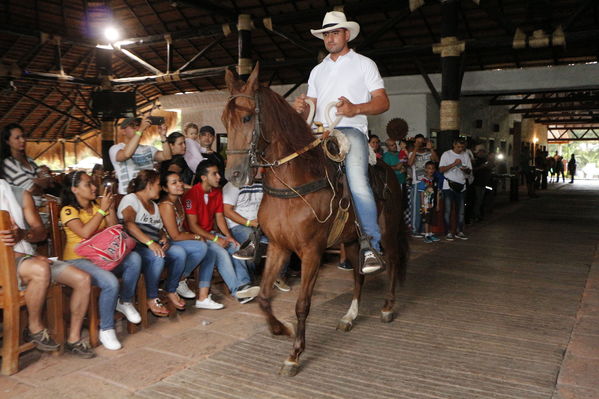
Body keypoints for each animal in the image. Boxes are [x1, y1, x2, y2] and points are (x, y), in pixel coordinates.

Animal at [223, 64, 410, 376]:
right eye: (224, 121)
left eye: (247, 117)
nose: (234, 175)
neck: (293, 183)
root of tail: (391, 172)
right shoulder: (279, 246)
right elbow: (263, 297)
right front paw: (282, 329)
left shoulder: (311, 251)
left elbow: (302, 304)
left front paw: (294, 354)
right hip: (351, 240)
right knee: (358, 275)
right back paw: (349, 316)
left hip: (388, 231)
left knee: (393, 262)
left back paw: (387, 307)